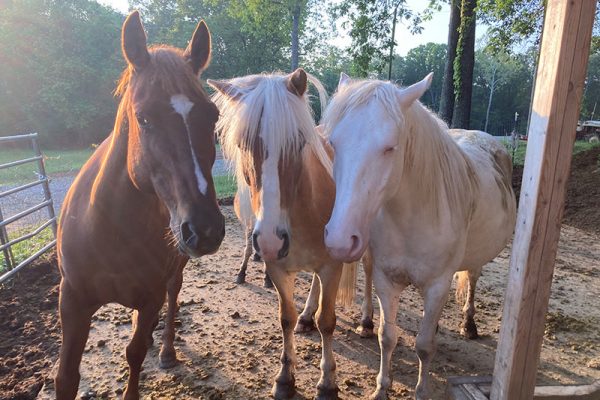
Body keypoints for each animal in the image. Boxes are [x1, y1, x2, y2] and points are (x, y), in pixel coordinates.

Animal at [55, 12, 225, 400]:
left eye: (212, 115)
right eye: (144, 118)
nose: (205, 229)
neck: (110, 231)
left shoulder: (151, 295)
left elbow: (134, 353)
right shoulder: (72, 301)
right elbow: (66, 377)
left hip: (175, 272)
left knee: (173, 300)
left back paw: (166, 350)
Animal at [324, 73, 516, 398]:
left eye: (390, 147)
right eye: (333, 143)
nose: (339, 239)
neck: (411, 219)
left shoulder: (437, 285)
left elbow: (425, 346)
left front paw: (421, 390)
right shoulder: (386, 280)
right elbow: (387, 336)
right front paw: (381, 387)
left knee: (473, 277)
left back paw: (469, 324)